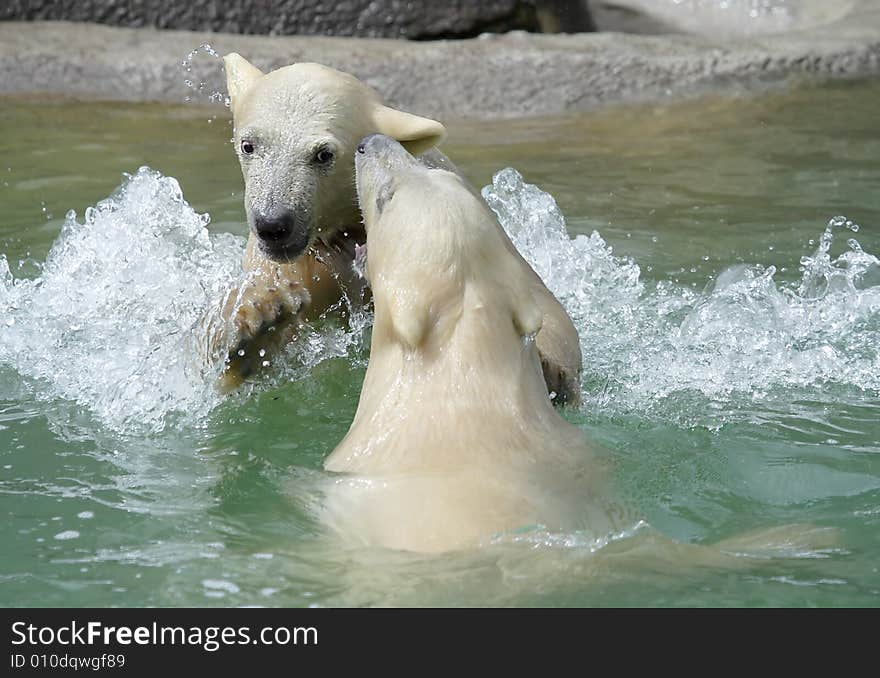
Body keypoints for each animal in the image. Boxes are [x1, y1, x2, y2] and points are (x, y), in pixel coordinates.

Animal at [211, 55, 584, 406]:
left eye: (323, 154)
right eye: (249, 144)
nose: (273, 224)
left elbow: (544, 303)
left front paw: (547, 369)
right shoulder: (302, 261)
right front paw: (259, 322)